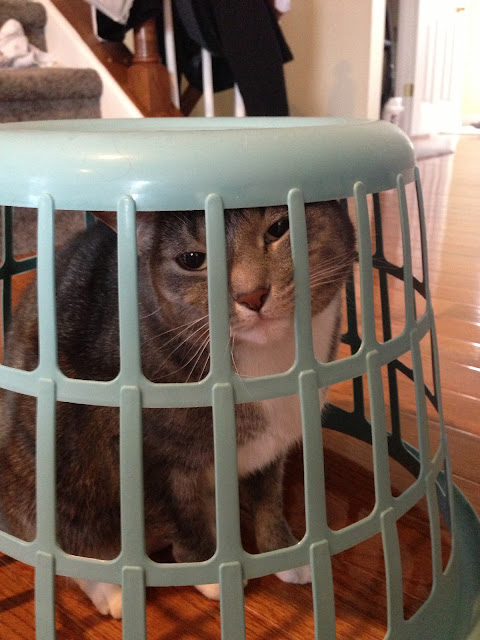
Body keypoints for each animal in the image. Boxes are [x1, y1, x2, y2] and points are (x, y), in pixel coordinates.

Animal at [0, 202, 355, 618]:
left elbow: (267, 498)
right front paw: (210, 576)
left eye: (280, 227)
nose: (252, 295)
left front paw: (284, 553)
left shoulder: (273, 447)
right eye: (192, 260)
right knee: (66, 549)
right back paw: (112, 594)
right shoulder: (148, 458)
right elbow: (185, 521)